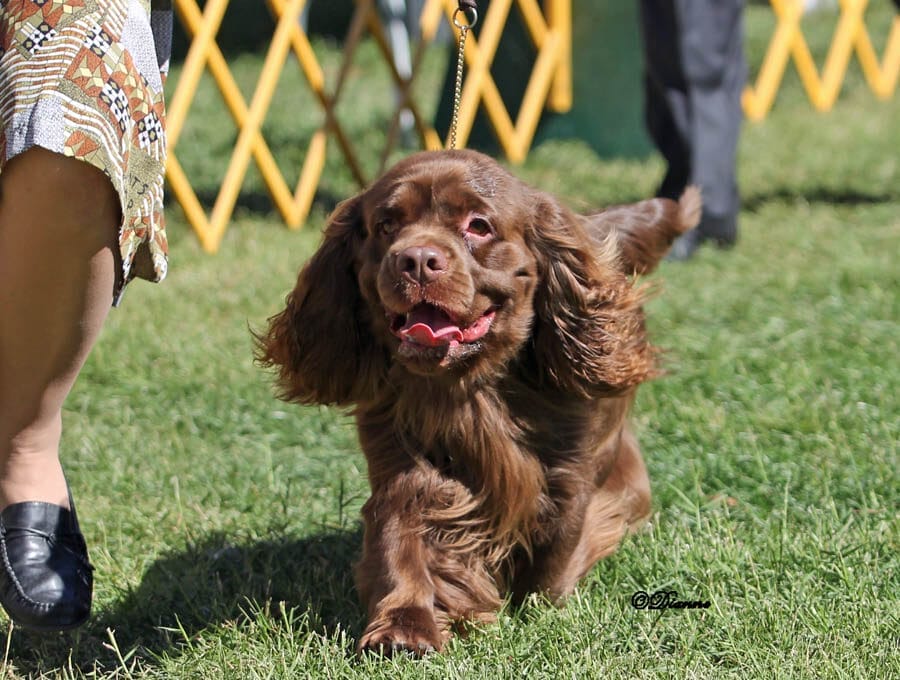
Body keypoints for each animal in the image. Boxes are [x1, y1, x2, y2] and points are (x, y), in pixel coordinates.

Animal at [256, 149, 700, 652]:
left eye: (478, 226)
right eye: (387, 225)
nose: (416, 259)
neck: (470, 385)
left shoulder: (570, 476)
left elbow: (552, 567)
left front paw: (533, 609)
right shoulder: (402, 464)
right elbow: (400, 541)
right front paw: (404, 628)